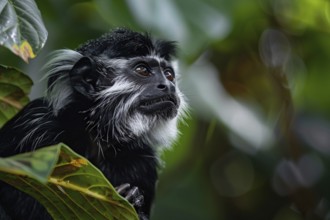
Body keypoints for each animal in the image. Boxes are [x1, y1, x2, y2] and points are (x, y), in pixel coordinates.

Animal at [0, 28, 186, 219]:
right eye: (143, 70)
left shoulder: (143, 162)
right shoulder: (35, 125)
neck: (97, 135)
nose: (167, 85)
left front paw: (134, 199)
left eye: (169, 74)